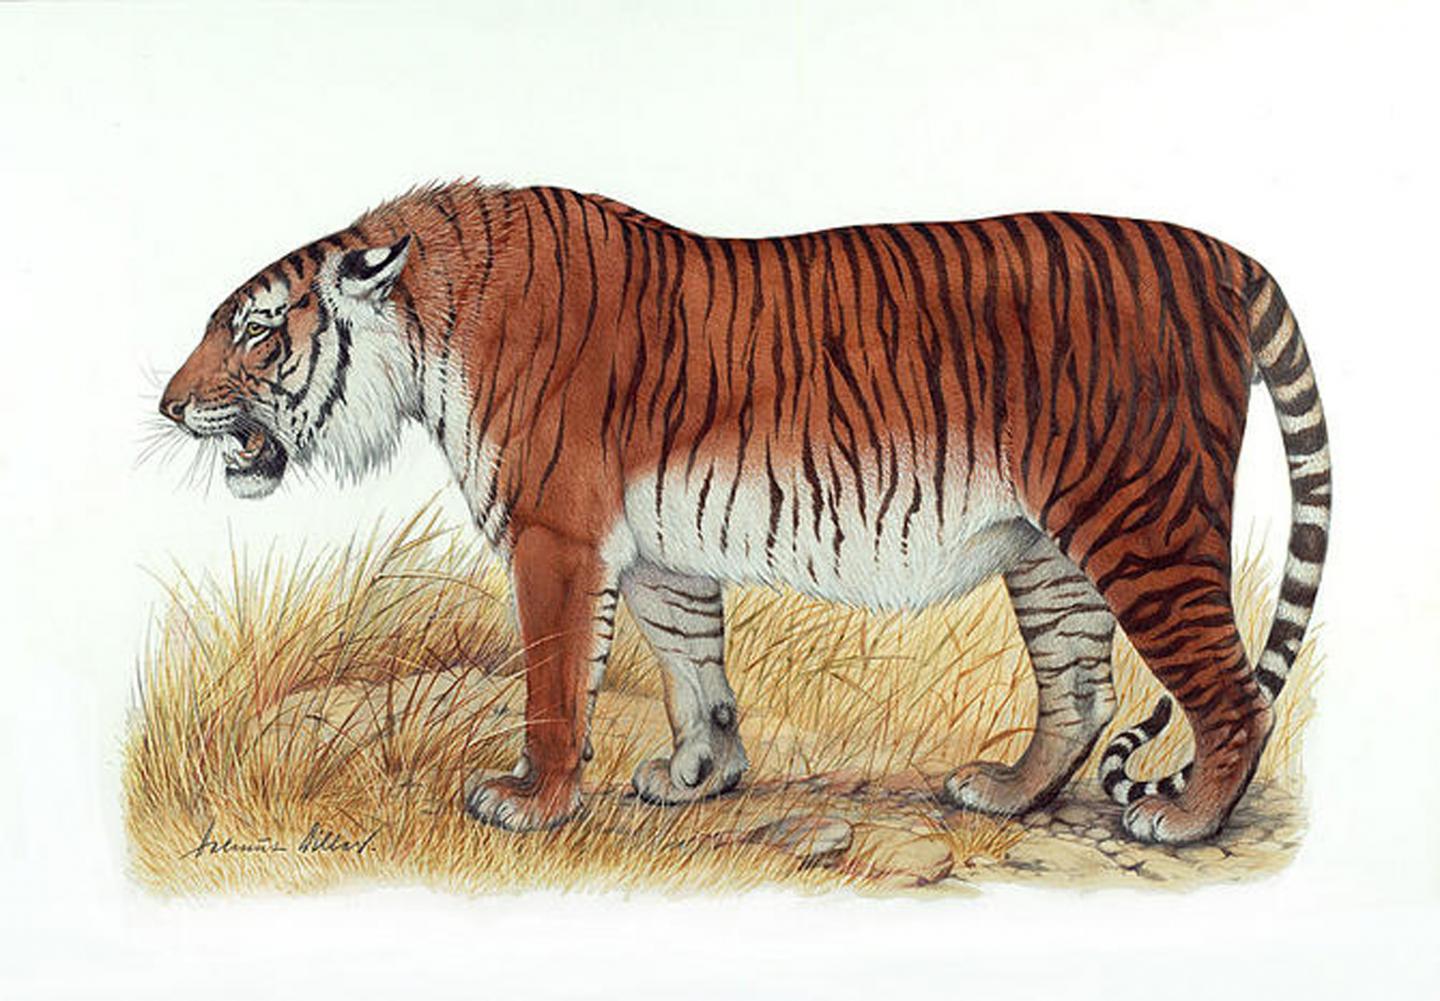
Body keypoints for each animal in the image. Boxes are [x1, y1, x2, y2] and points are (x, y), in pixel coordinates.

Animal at [159, 181, 1330, 845]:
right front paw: (698, 776)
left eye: (256, 330)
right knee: (1080, 688)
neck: (428, 327)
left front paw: (533, 800)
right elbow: (692, 663)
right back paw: (1008, 792)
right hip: (1049, 546)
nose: (168, 406)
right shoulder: (653, 546)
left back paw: (1184, 817)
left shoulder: (555, 532)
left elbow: (553, 681)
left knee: (1230, 690)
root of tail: (1219, 254)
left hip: (1146, 519)